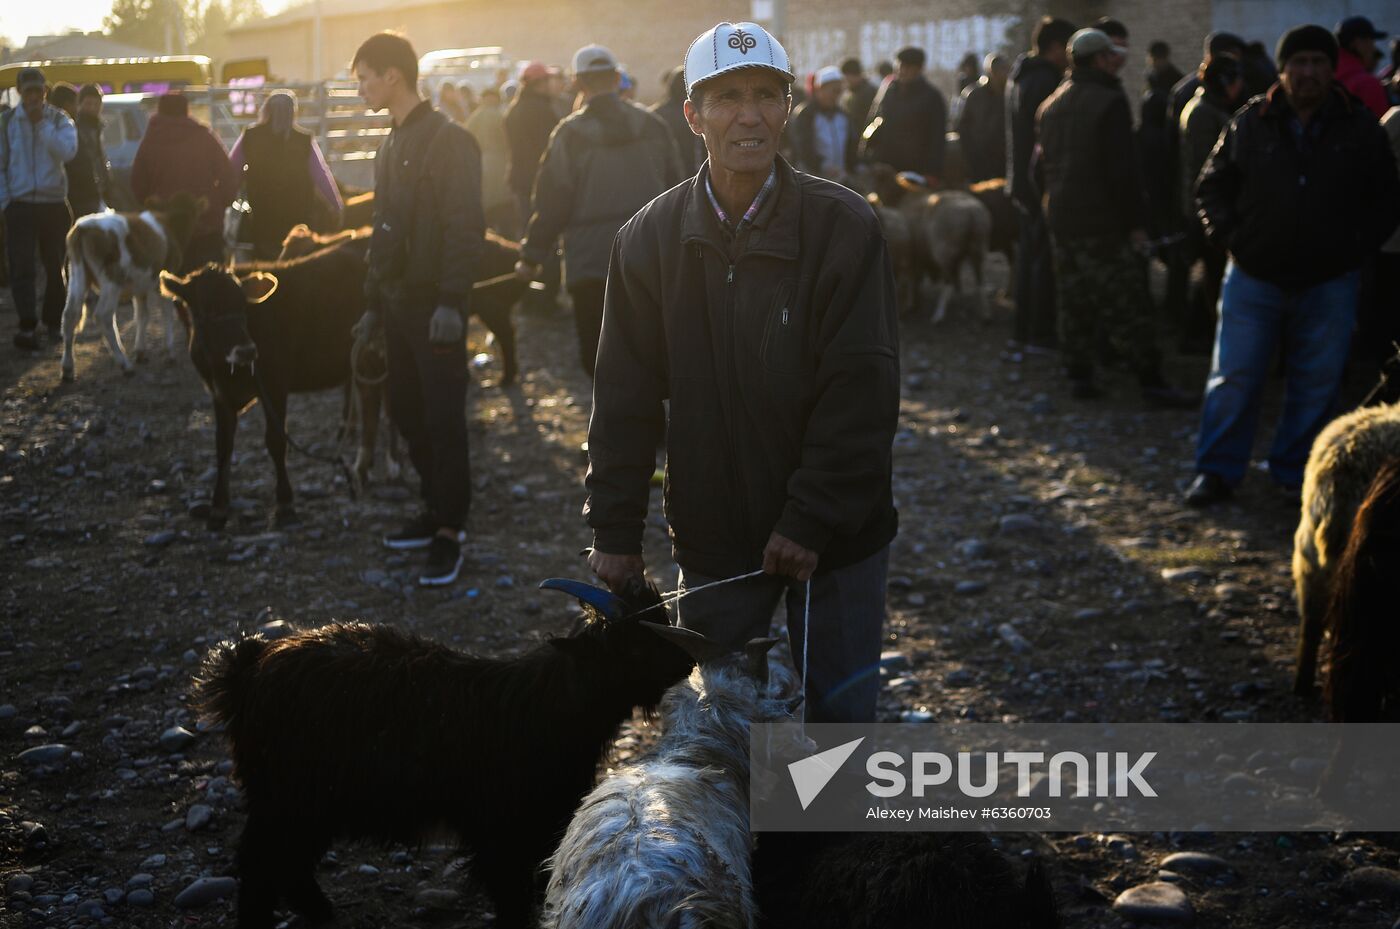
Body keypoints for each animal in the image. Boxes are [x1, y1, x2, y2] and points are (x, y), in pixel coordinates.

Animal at [194, 582, 697, 929]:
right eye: (633, 644)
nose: (690, 660)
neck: (542, 708)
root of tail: (245, 669)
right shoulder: (501, 831)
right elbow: (511, 896)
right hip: (288, 796)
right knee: (261, 864)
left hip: (307, 801)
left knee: (287, 865)